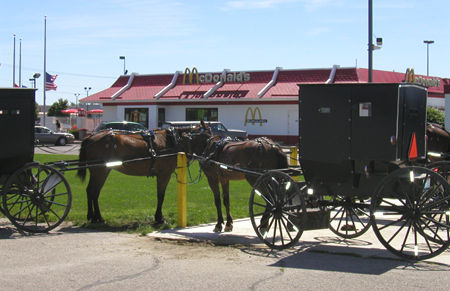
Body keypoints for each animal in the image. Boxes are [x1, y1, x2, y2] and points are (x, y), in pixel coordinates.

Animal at [77, 122, 211, 225]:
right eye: (208, 138)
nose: (209, 157)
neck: (172, 141)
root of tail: (90, 138)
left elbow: (160, 195)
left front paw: (158, 217)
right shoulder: (164, 174)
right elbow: (161, 195)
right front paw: (159, 218)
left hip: (100, 171)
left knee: (92, 191)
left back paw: (94, 217)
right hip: (100, 171)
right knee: (93, 191)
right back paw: (97, 217)